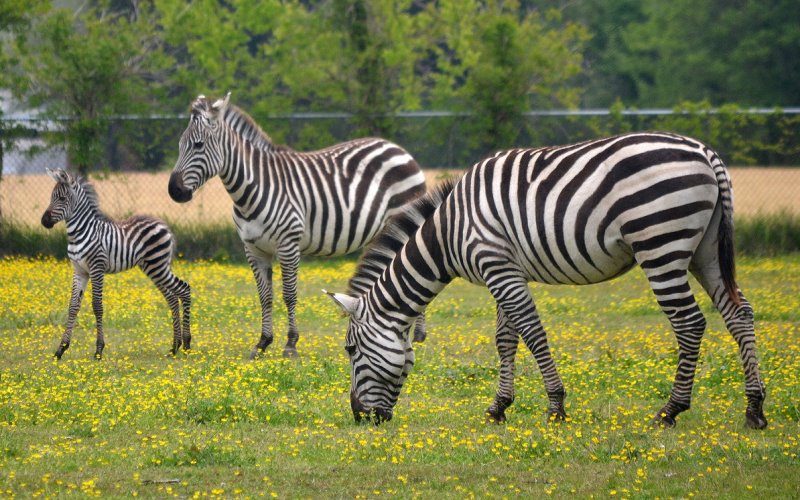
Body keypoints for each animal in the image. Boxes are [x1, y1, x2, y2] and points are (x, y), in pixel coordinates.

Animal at [41, 169, 191, 360]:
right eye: (51, 197)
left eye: (61, 198)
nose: (44, 221)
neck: (79, 232)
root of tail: (163, 225)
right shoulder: (80, 271)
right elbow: (73, 306)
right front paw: (61, 349)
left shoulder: (97, 268)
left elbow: (97, 306)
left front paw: (98, 350)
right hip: (152, 267)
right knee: (172, 298)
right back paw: (174, 347)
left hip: (158, 265)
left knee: (184, 289)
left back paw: (186, 344)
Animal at [169, 94, 428, 358]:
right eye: (179, 145)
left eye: (198, 145)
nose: (174, 191)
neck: (252, 189)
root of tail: (395, 147)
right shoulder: (253, 249)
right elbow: (265, 297)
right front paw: (262, 343)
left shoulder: (288, 244)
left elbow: (289, 295)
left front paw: (290, 344)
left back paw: (416, 335)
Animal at [326, 131, 768, 428]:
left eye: (350, 350)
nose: (359, 417)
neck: (450, 232)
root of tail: (704, 152)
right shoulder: (503, 269)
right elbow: (506, 339)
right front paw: (499, 408)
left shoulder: (497, 265)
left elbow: (533, 333)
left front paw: (555, 407)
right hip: (704, 250)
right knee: (739, 314)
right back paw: (754, 409)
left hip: (660, 244)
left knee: (689, 323)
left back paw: (671, 410)